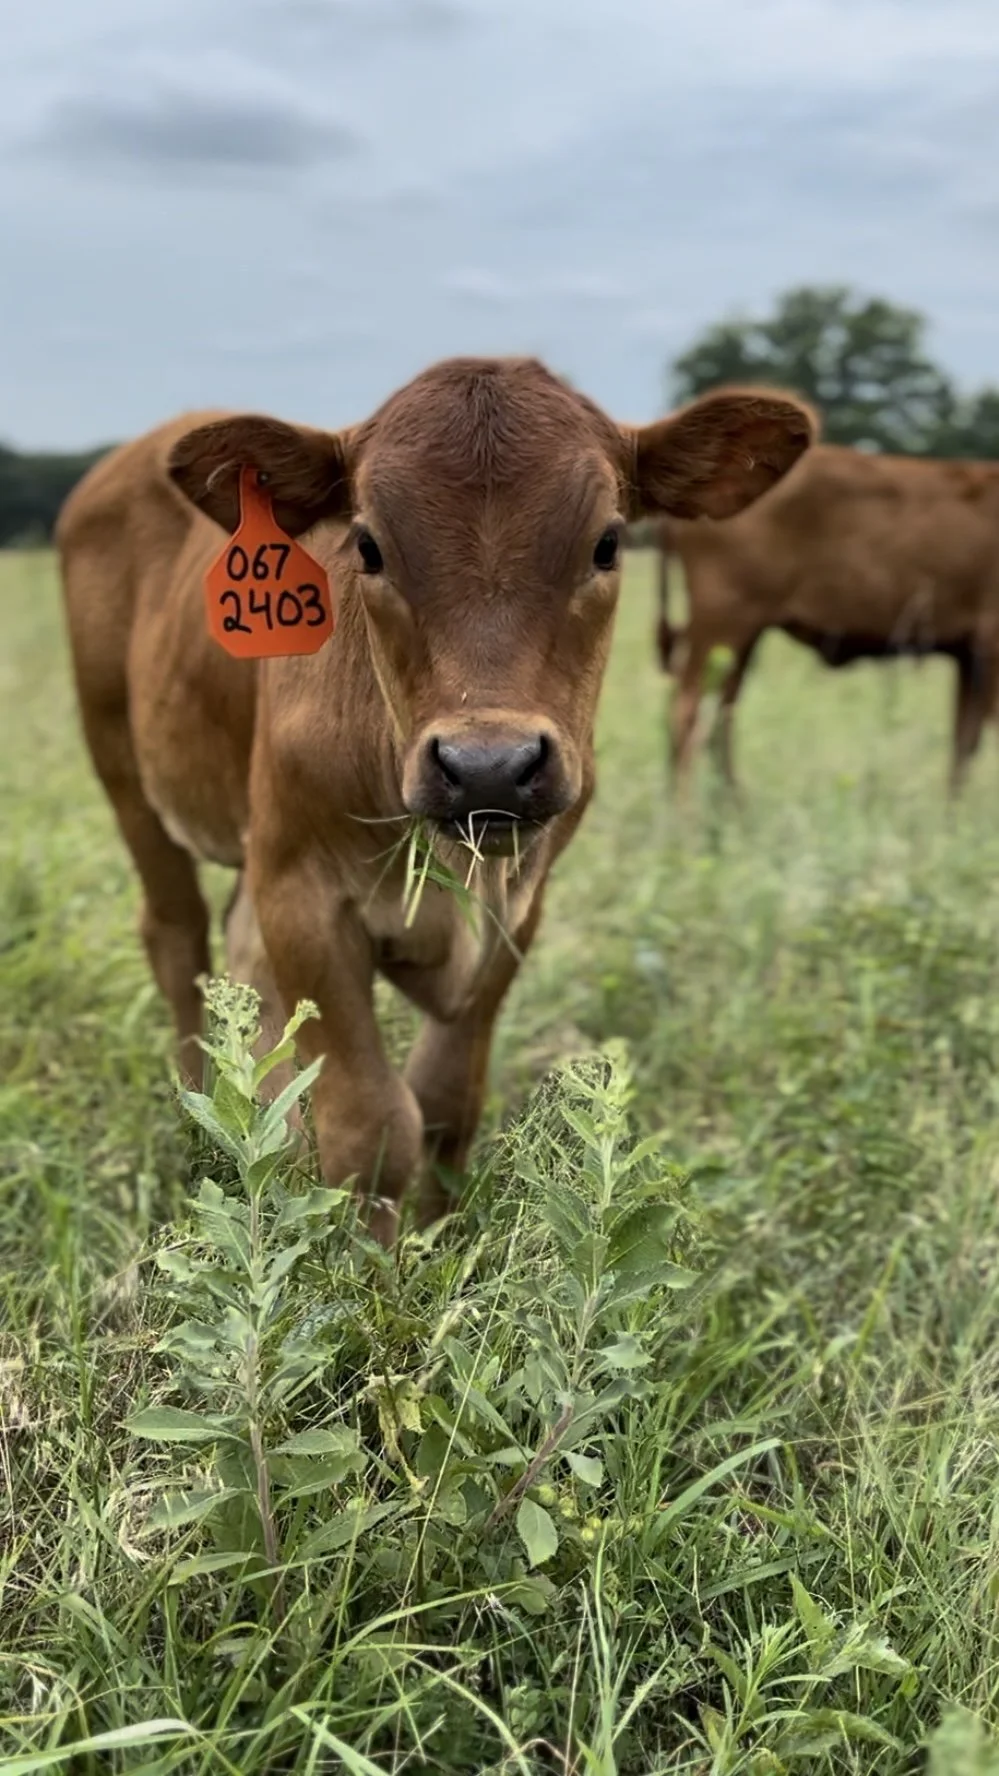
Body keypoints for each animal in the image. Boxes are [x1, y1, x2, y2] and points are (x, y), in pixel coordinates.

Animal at [56, 358, 813, 1239]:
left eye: (606, 542)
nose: (488, 766)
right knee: (176, 936)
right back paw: (201, 1118)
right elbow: (372, 1124)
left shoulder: (516, 906)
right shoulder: (303, 896)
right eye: (368, 545)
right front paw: (372, 1263)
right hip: (122, 767)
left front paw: (439, 1236)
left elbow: (447, 1099)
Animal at [652, 439, 999, 796]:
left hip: (739, 636)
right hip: (723, 622)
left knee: (720, 711)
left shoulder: (970, 656)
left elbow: (963, 744)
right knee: (690, 714)